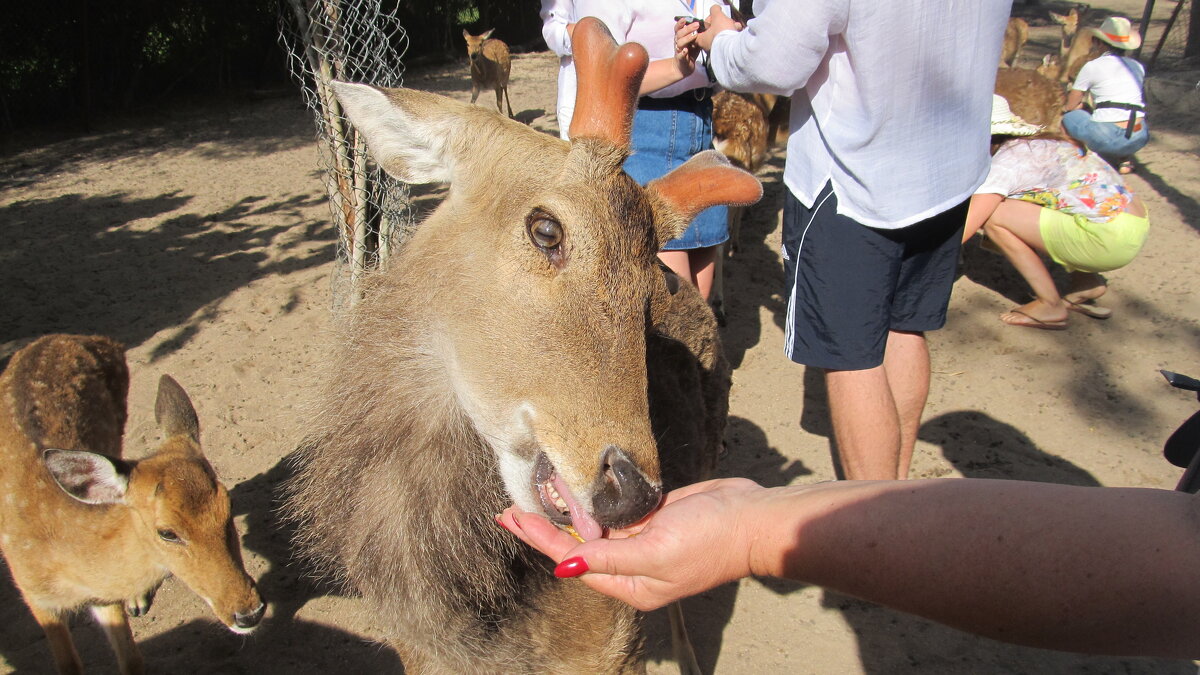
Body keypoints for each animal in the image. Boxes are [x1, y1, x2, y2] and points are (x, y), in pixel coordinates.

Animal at [0, 333, 265, 667]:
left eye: (227, 507)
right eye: (167, 532)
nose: (249, 612)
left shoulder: (104, 598)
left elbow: (132, 660)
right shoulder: (35, 596)